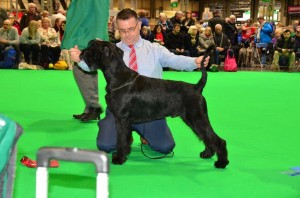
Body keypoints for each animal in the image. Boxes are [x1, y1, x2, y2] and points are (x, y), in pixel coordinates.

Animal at [81, 40, 229, 169]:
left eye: (92, 47)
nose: (82, 53)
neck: (119, 78)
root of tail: (196, 87)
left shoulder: (121, 119)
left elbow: (121, 139)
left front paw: (119, 158)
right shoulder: (124, 121)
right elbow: (125, 139)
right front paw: (124, 155)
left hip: (197, 118)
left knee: (216, 139)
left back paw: (221, 162)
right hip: (193, 120)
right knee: (206, 136)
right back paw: (207, 153)